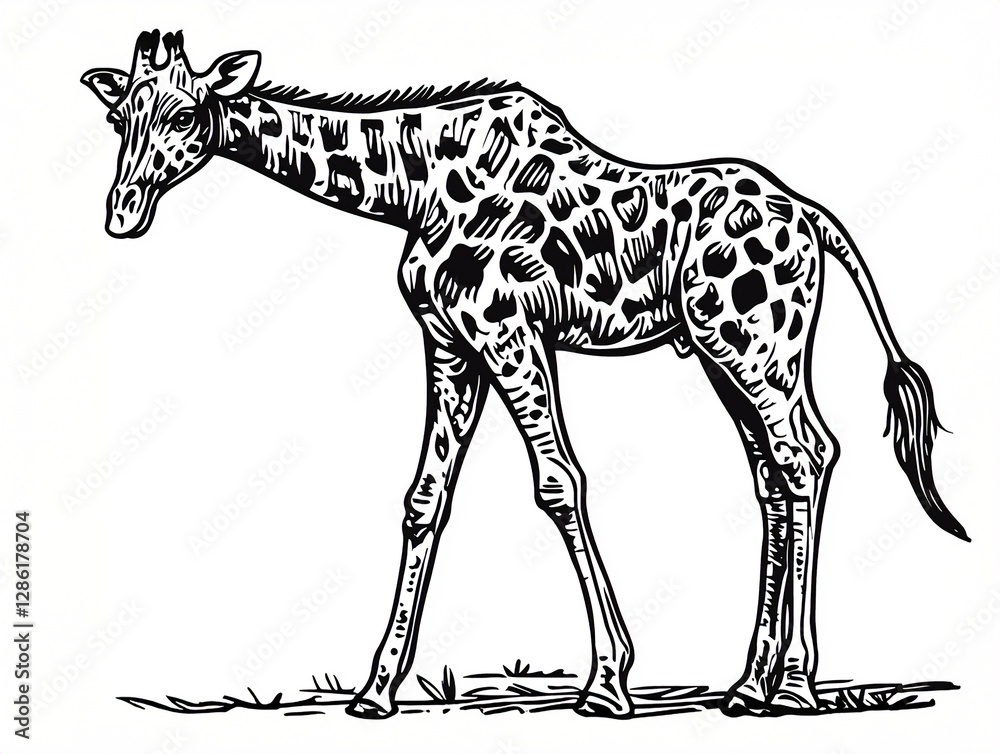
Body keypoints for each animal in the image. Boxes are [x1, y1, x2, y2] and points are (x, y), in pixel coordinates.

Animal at [82, 31, 968, 719]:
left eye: (185, 114)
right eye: (118, 117)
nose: (121, 214)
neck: (413, 189)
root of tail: (815, 219)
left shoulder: (509, 330)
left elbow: (559, 483)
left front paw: (608, 682)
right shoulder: (449, 341)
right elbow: (424, 500)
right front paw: (376, 691)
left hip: (753, 343)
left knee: (804, 458)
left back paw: (793, 686)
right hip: (733, 351)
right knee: (776, 473)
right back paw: (747, 683)